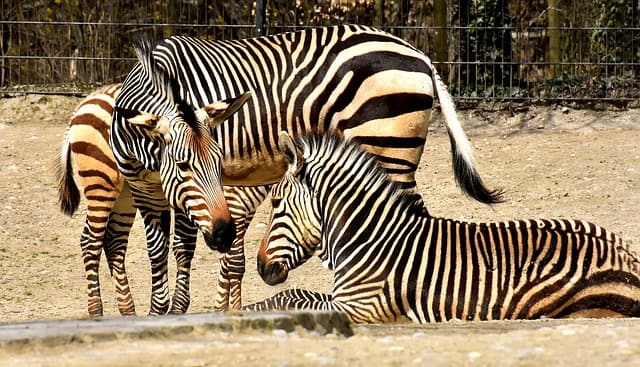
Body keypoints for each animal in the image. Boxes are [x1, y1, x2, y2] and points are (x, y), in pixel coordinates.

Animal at [57, 41, 251, 316]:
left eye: (219, 162)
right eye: (183, 165)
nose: (224, 234)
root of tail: (87, 100)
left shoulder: (179, 196)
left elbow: (184, 246)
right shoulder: (151, 192)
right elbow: (160, 248)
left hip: (124, 195)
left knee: (114, 242)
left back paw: (128, 311)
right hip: (101, 183)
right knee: (91, 241)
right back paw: (96, 311)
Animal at [245, 133, 640, 324]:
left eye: (276, 204)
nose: (260, 267)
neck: (370, 240)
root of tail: (627, 255)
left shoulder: (362, 306)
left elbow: (292, 296)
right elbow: (293, 295)